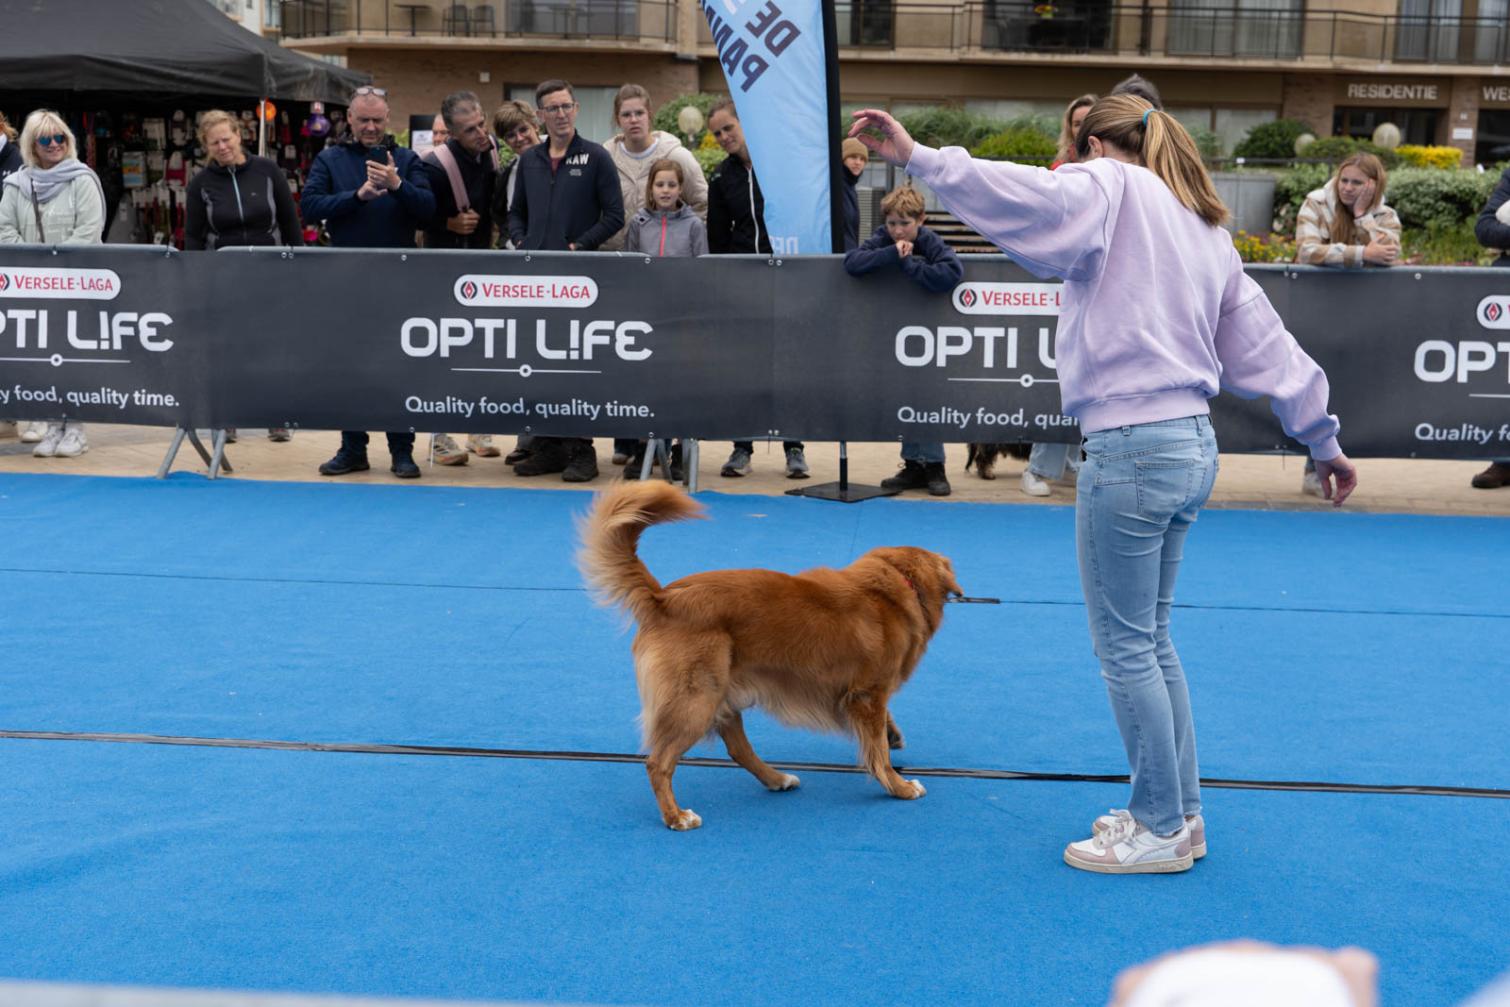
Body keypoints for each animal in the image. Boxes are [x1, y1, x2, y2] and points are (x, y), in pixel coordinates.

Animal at [578, 482, 964, 831]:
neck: (895, 587)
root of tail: (664, 597)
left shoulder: (866, 696)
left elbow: (883, 729)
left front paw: (894, 735)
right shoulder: (869, 694)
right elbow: (878, 752)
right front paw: (899, 786)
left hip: (721, 693)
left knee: (739, 750)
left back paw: (777, 779)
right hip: (696, 699)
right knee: (658, 763)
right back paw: (677, 817)